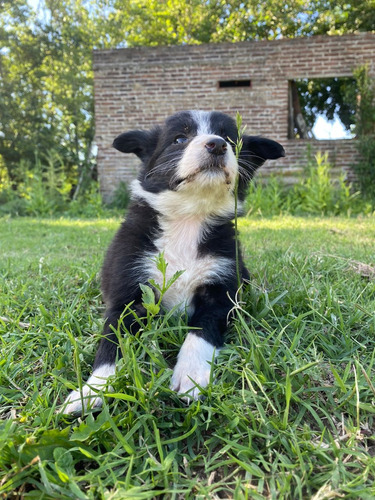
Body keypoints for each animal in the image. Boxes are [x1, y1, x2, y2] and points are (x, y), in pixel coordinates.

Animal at [62, 111, 284, 412]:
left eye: (228, 138)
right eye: (180, 139)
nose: (216, 145)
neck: (189, 218)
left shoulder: (221, 290)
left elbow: (202, 331)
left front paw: (190, 376)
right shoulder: (128, 295)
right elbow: (111, 343)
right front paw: (92, 390)